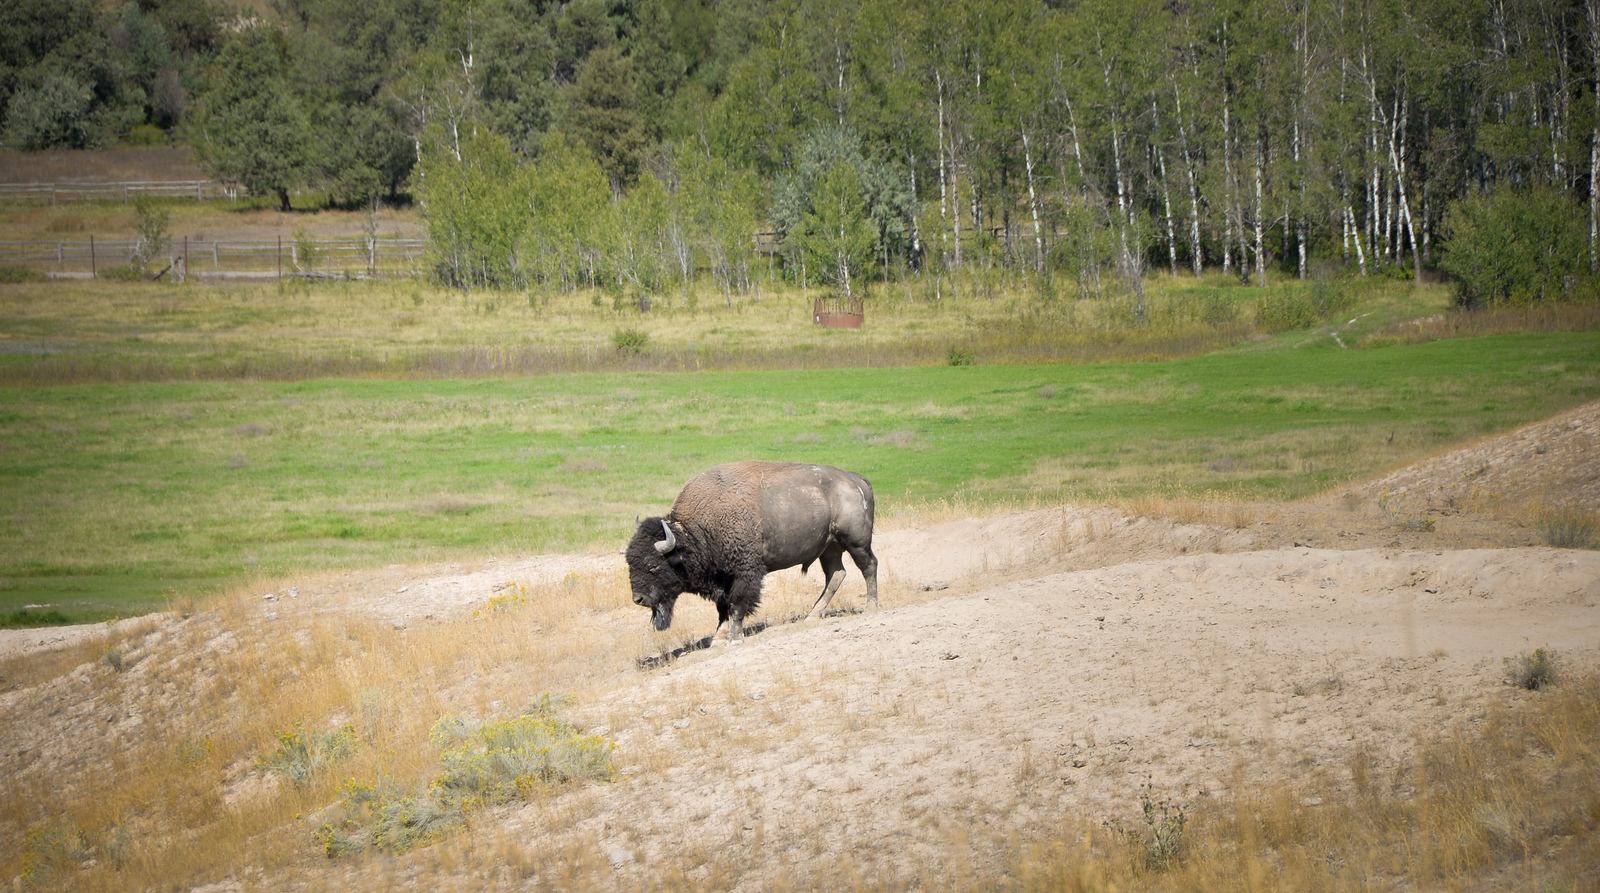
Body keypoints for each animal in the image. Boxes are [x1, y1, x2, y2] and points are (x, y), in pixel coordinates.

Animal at [626, 461, 879, 643]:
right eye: (630, 563)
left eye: (653, 565)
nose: (638, 599)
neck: (696, 531)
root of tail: (857, 480)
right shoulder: (722, 580)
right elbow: (722, 608)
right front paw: (718, 637)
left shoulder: (745, 573)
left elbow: (737, 604)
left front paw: (735, 637)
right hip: (829, 548)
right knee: (836, 575)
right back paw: (812, 615)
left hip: (856, 542)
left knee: (868, 566)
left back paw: (870, 607)